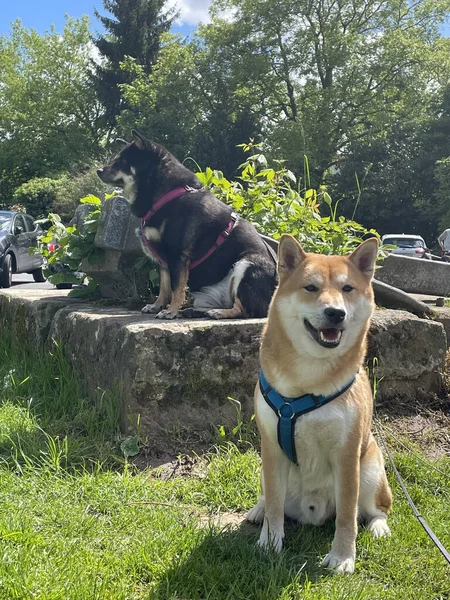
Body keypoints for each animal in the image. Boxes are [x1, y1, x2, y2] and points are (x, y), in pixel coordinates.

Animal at [97, 131, 278, 318]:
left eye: (122, 162)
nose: (98, 170)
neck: (166, 195)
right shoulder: (164, 260)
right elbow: (164, 288)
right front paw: (157, 306)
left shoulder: (177, 256)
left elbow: (177, 288)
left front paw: (171, 311)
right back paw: (196, 310)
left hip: (246, 265)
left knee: (245, 309)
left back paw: (218, 312)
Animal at [248, 233, 392, 572]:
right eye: (311, 288)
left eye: (347, 288)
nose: (335, 313)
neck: (309, 378)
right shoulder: (271, 447)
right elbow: (275, 503)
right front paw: (269, 542)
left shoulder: (346, 454)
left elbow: (347, 516)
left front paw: (342, 557)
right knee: (270, 497)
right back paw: (258, 509)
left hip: (371, 471)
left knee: (376, 510)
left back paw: (379, 527)